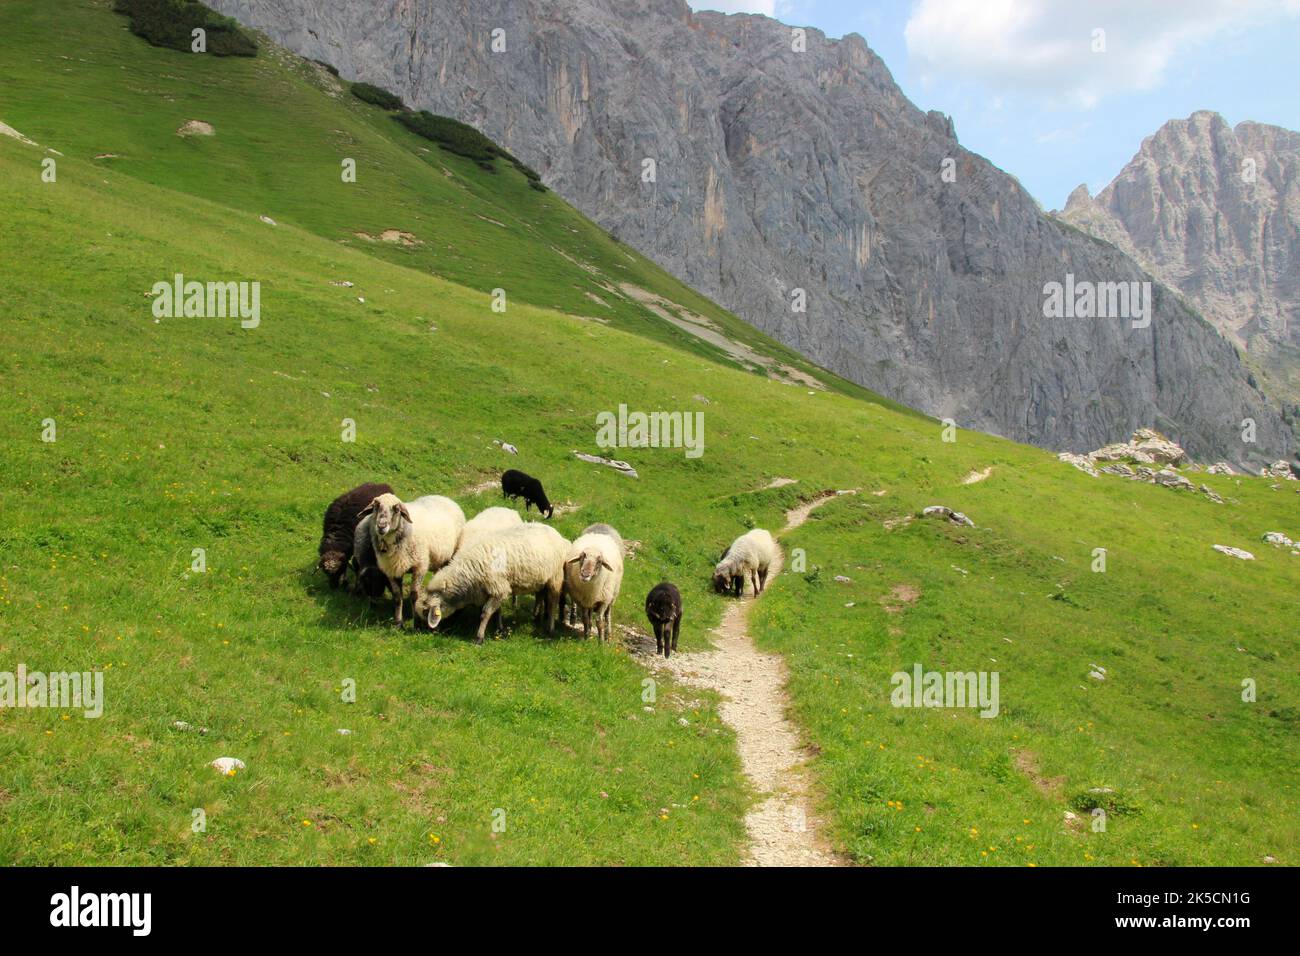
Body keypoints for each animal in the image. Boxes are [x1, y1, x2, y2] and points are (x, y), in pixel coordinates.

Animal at [359, 493, 466, 625]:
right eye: (376, 506)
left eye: (397, 509)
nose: (381, 526)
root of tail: (444, 497)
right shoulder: (391, 570)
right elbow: (397, 597)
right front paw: (398, 622)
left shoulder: (419, 567)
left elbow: (414, 596)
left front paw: (416, 622)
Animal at [417, 523, 569, 643]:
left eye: (425, 611)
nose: (426, 632)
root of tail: (556, 533)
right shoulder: (494, 591)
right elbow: (497, 610)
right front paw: (499, 627)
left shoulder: (499, 588)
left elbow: (485, 613)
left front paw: (479, 637)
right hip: (541, 579)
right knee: (540, 596)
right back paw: (536, 617)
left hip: (555, 577)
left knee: (553, 602)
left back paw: (550, 628)